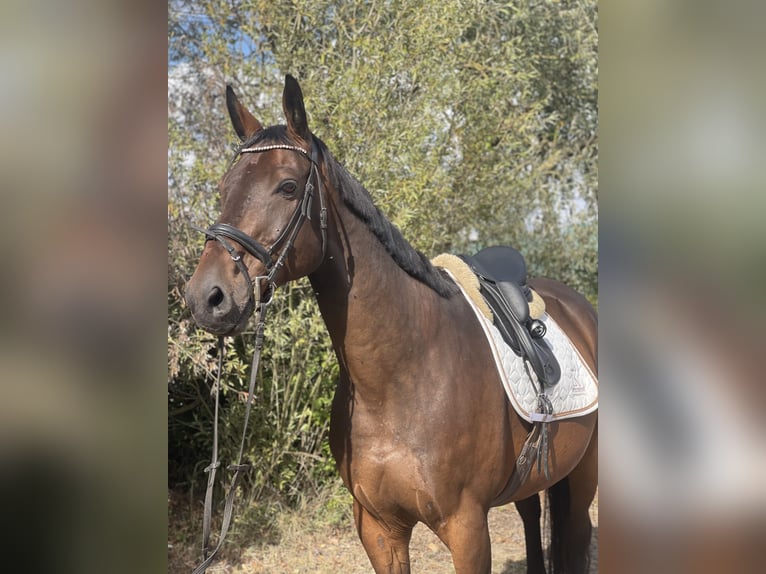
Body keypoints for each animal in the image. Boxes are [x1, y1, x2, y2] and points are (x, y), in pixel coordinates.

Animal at [186, 74, 600, 572]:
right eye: (223, 187)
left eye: (287, 186)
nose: (206, 297)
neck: (403, 375)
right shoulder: (378, 528)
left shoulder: (467, 528)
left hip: (584, 476)